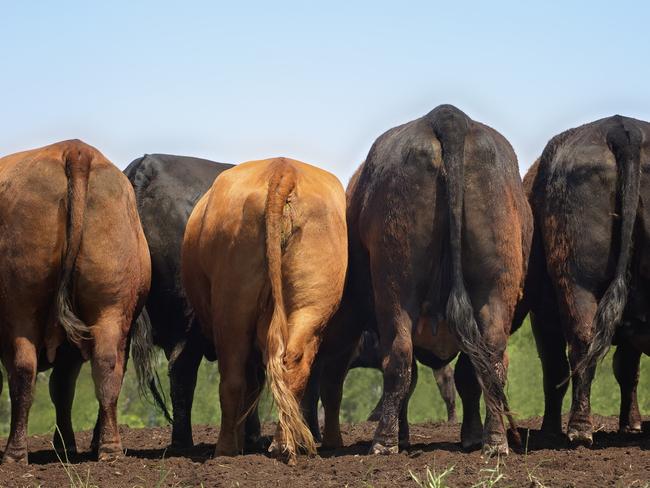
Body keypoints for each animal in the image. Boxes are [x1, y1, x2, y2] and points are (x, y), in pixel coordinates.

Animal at [0, 139, 151, 464]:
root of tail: (75, 151)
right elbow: (62, 388)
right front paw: (66, 445)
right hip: (110, 309)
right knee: (107, 367)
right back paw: (109, 448)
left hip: (21, 309)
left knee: (23, 371)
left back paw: (15, 453)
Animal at [180, 156, 346, 462]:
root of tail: (283, 168)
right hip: (310, 305)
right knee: (293, 367)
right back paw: (283, 443)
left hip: (232, 309)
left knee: (233, 379)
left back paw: (226, 449)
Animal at [520, 114, 648, 446]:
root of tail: (622, 128)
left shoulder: (542, 316)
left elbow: (555, 370)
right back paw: (580, 427)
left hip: (576, 284)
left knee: (581, 343)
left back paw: (579, 428)